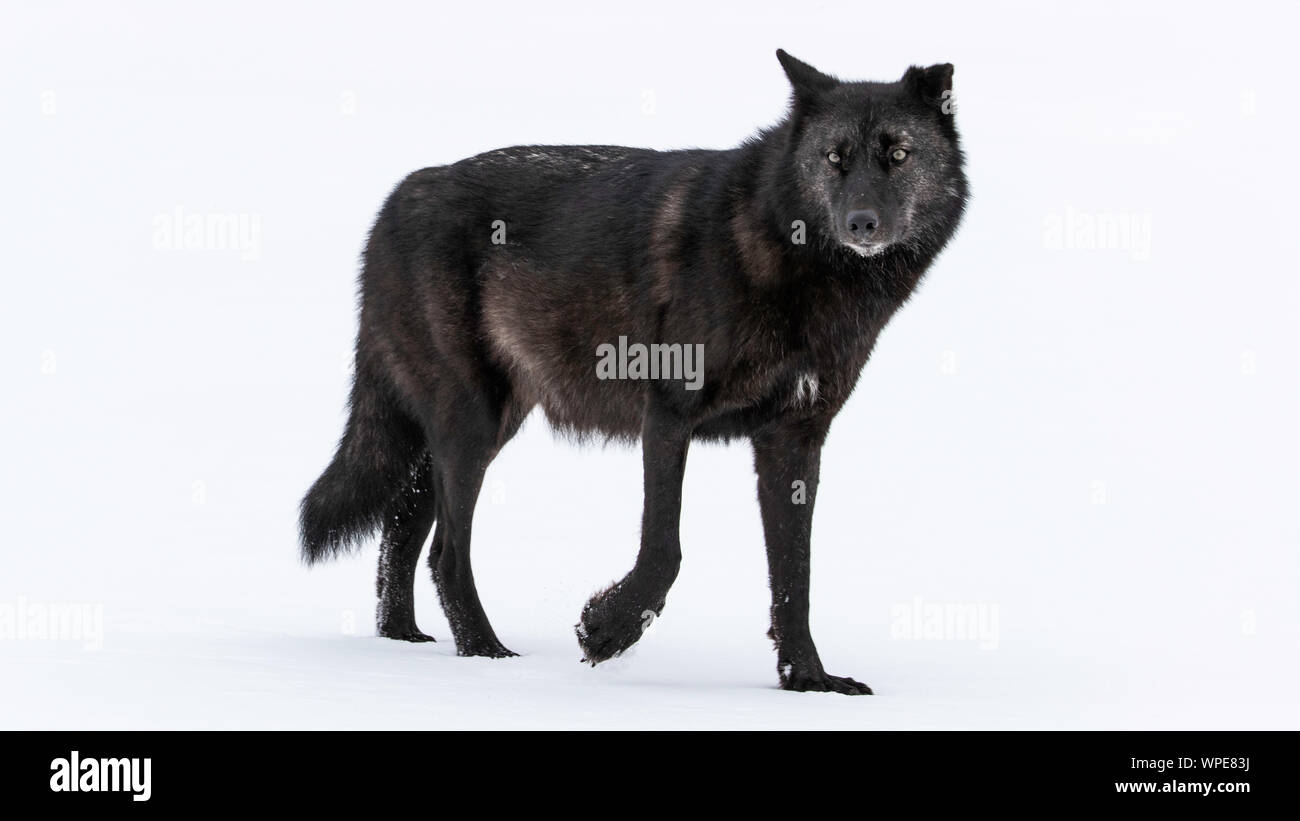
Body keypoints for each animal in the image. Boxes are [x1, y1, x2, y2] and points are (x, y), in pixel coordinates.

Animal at [299, 50, 967, 694]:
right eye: (835, 158)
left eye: (898, 154)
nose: (862, 223)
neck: (792, 259)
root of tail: (399, 194)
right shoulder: (669, 413)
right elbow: (665, 550)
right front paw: (604, 631)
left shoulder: (794, 441)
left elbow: (794, 577)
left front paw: (807, 678)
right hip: (471, 424)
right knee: (443, 551)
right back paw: (487, 655)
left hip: (476, 428)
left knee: (401, 524)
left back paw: (403, 643)